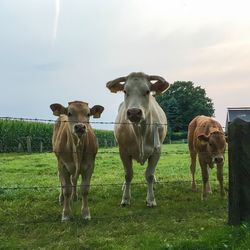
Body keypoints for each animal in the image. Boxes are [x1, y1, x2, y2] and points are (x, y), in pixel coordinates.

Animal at [105, 71, 170, 206]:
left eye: (147, 91)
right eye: (125, 91)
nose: (134, 112)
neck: (140, 132)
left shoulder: (157, 151)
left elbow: (149, 174)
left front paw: (151, 199)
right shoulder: (123, 151)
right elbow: (128, 174)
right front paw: (125, 198)